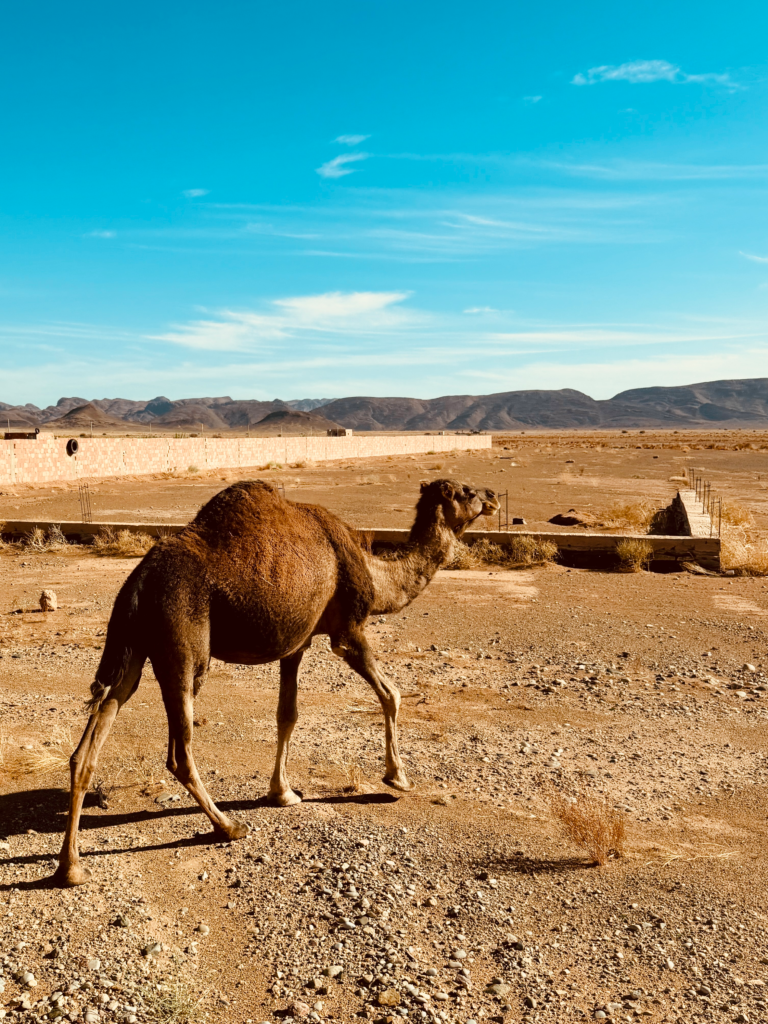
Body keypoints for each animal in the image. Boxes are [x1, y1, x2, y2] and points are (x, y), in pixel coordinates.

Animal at [52, 477, 499, 886]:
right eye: (466, 491)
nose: (493, 496)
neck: (376, 575)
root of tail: (137, 583)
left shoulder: (296, 644)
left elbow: (288, 715)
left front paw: (282, 792)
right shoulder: (347, 631)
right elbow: (391, 694)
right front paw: (398, 777)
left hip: (130, 648)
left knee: (91, 739)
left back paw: (70, 867)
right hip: (184, 648)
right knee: (179, 751)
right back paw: (229, 827)